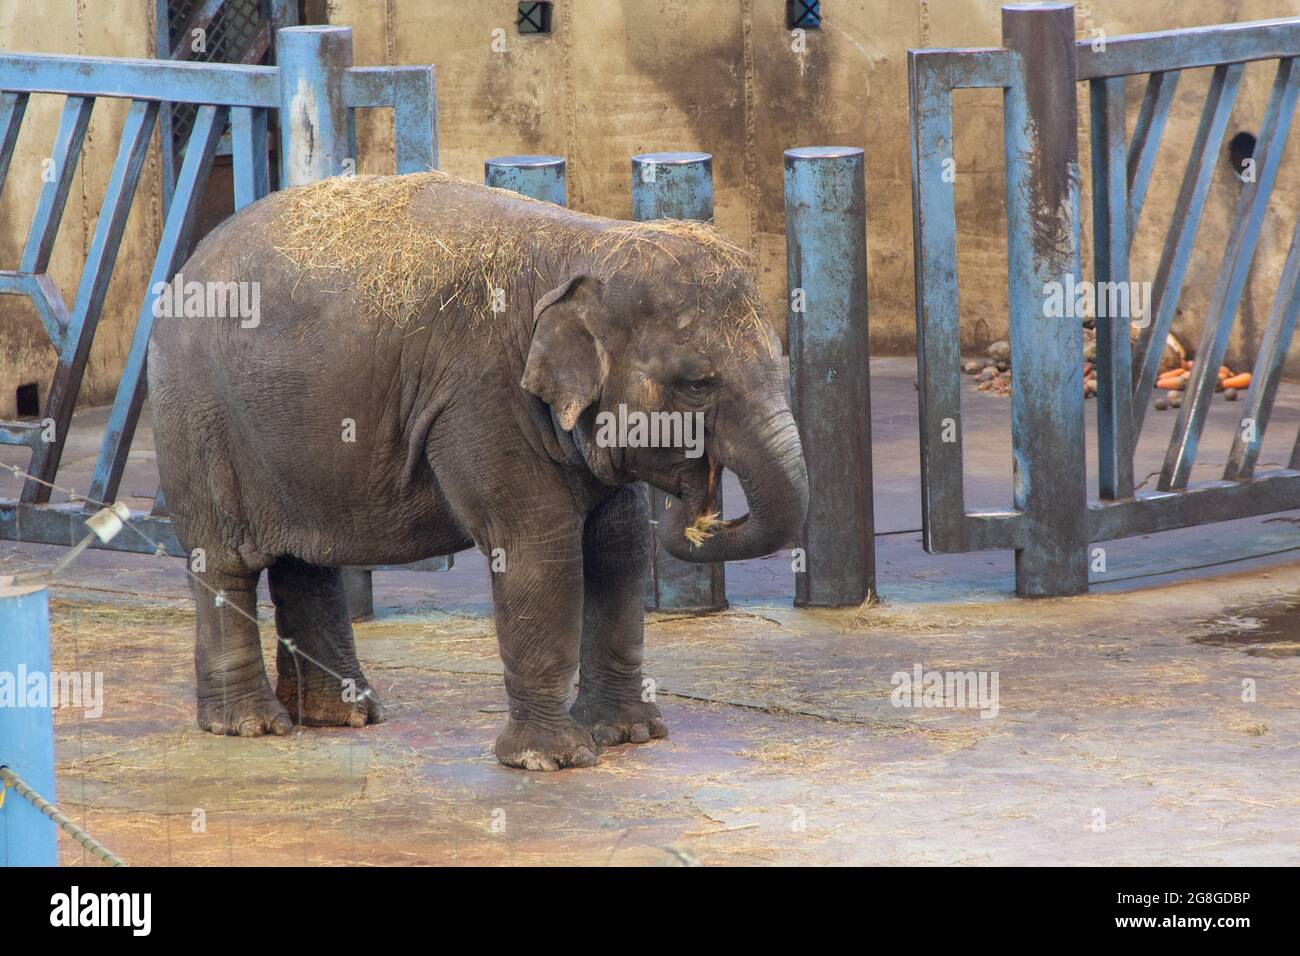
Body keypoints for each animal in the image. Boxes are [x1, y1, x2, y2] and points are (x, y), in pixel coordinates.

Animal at [149, 170, 800, 770]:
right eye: (697, 384)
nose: (701, 504)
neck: (588, 244)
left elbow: (620, 546)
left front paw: (628, 735)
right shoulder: (483, 401)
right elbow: (539, 551)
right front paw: (553, 760)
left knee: (305, 563)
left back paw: (344, 717)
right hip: (198, 418)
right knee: (225, 562)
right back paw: (250, 726)